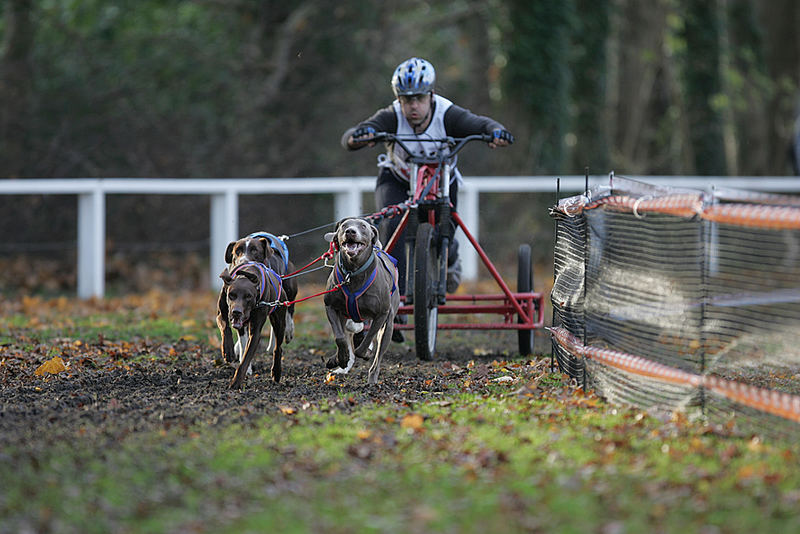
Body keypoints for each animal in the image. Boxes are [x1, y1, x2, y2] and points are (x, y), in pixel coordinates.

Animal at [322, 218, 400, 386]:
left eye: (363, 226)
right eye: (344, 226)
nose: (350, 231)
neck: (353, 273)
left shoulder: (381, 314)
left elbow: (367, 339)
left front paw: (365, 353)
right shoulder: (330, 306)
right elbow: (340, 338)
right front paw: (340, 358)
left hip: (389, 323)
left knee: (377, 356)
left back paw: (372, 379)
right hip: (343, 315)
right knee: (344, 335)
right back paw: (338, 359)